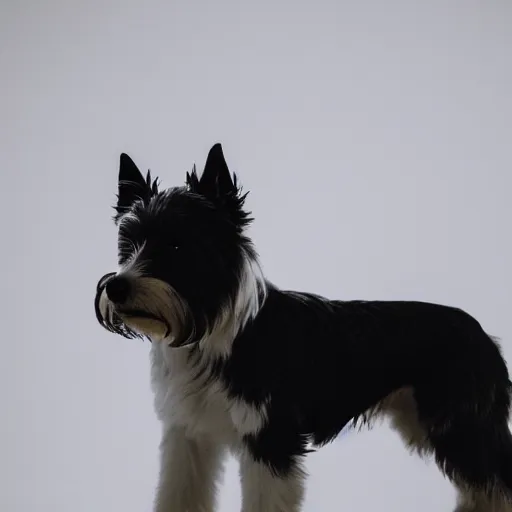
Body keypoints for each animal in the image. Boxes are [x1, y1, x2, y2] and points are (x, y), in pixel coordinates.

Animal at [95, 144, 512, 512]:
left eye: (178, 246)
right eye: (128, 244)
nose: (116, 287)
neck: (210, 337)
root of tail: (483, 333)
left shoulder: (270, 441)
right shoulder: (188, 437)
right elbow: (177, 495)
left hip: (460, 426)